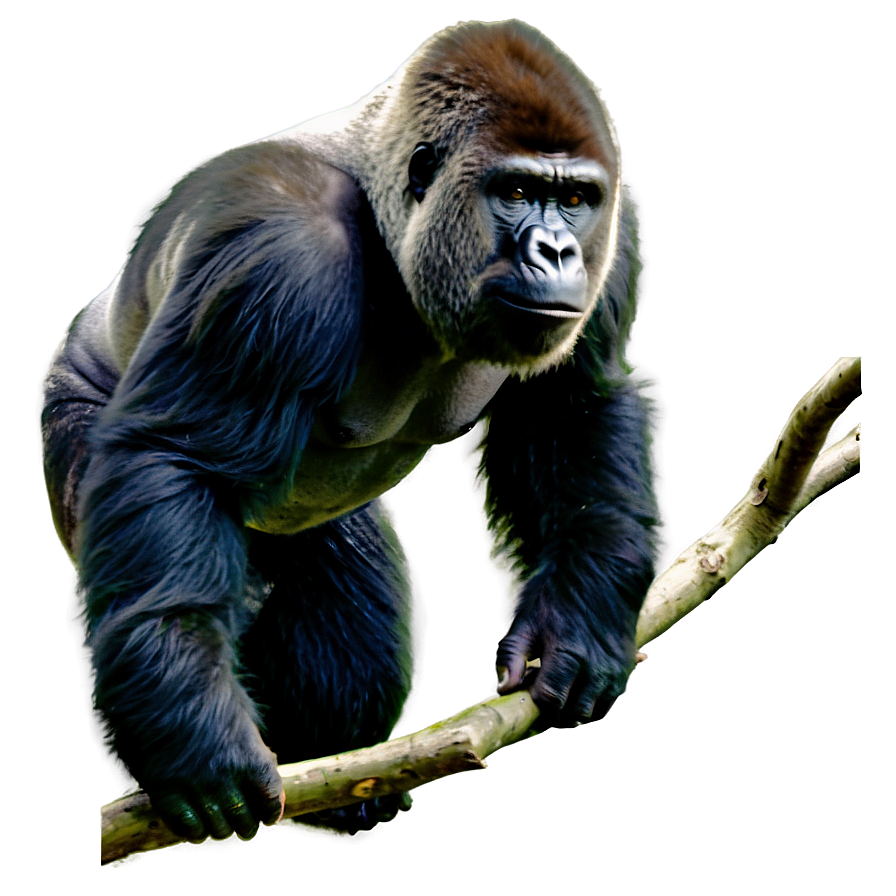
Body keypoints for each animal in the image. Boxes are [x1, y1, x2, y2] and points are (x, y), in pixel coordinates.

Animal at [40, 20, 661, 840]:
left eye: (577, 199)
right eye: (518, 192)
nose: (556, 250)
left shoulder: (611, 244)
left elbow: (573, 411)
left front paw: (579, 628)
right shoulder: (278, 251)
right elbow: (175, 460)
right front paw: (192, 742)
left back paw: (341, 783)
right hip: (69, 411)